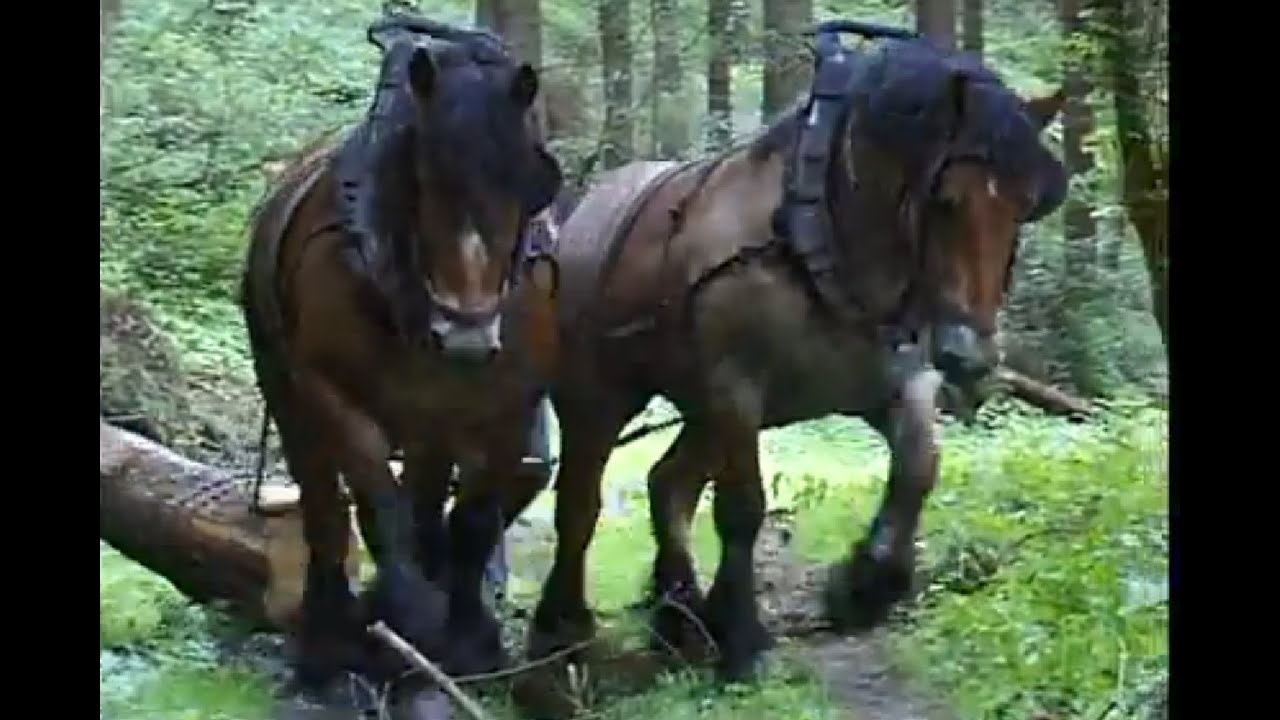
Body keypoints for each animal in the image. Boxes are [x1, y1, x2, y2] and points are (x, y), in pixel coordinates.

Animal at [238, 13, 564, 708]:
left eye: (526, 182)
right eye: (423, 178)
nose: (465, 336)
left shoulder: (508, 405)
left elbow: (472, 522)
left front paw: (468, 643)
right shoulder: (329, 390)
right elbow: (376, 510)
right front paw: (406, 625)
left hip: (431, 422)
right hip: (289, 392)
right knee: (325, 510)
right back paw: (328, 638)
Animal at [524, 24, 1069, 685]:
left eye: (1026, 205)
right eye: (947, 198)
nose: (970, 357)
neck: (823, 235)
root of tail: (585, 212)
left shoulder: (894, 382)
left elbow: (918, 468)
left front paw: (867, 585)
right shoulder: (736, 388)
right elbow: (743, 508)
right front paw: (745, 638)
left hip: (701, 409)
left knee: (667, 483)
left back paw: (680, 614)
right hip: (603, 397)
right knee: (580, 504)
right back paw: (563, 628)